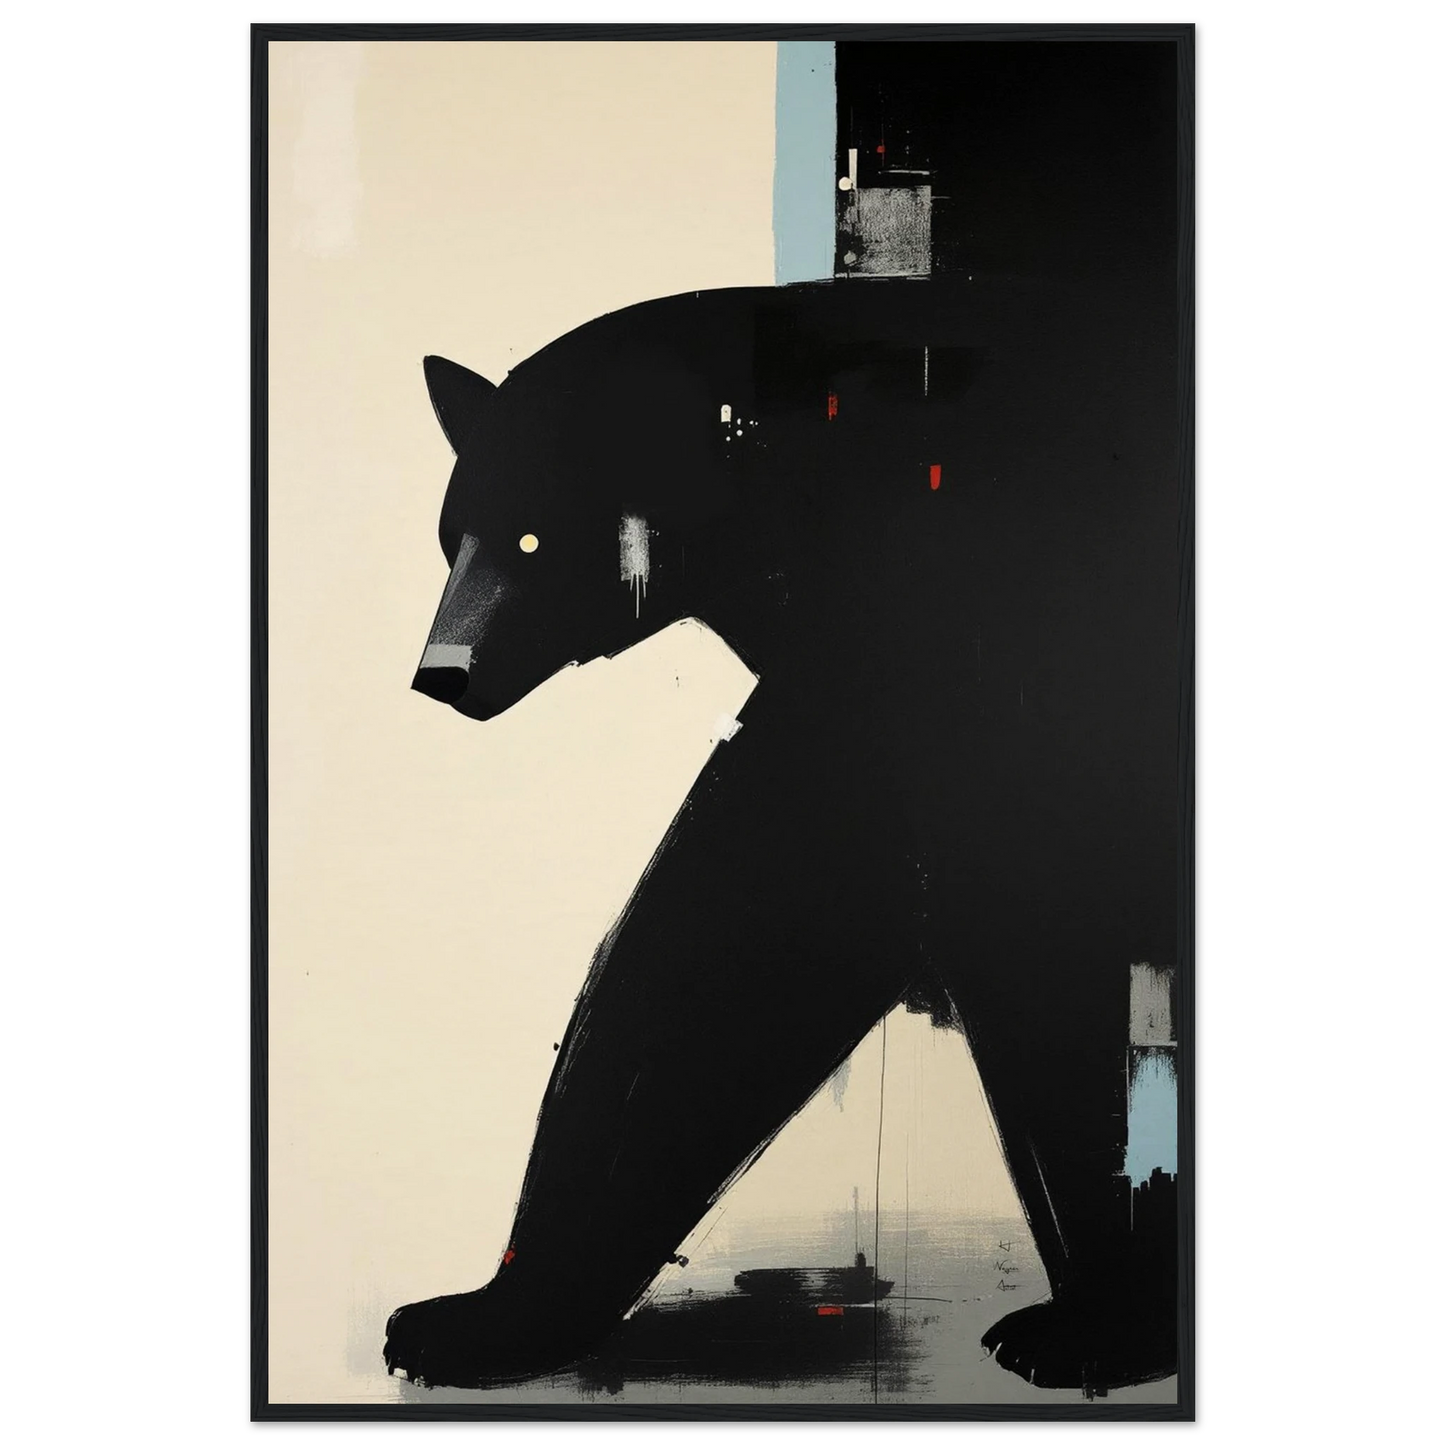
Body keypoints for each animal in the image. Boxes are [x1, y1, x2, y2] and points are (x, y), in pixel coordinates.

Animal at [384, 270, 1181, 1394]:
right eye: (452, 534)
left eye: (532, 536)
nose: (441, 672)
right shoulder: (856, 716)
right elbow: (720, 956)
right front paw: (483, 1314)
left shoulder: (983, 657)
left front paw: (1101, 1322)